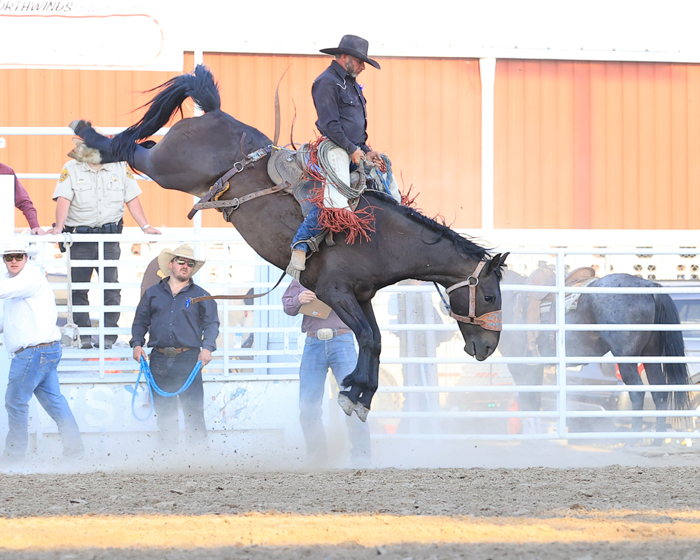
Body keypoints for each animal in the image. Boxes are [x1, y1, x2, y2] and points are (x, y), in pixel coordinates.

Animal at [68, 64, 506, 420]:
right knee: (131, 151)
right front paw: (354, 391)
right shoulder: (334, 291)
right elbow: (367, 338)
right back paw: (86, 139)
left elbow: (376, 340)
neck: (380, 236)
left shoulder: (361, 297)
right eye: (489, 297)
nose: (487, 349)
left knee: (137, 147)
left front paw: (360, 395)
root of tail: (215, 113)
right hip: (168, 168)